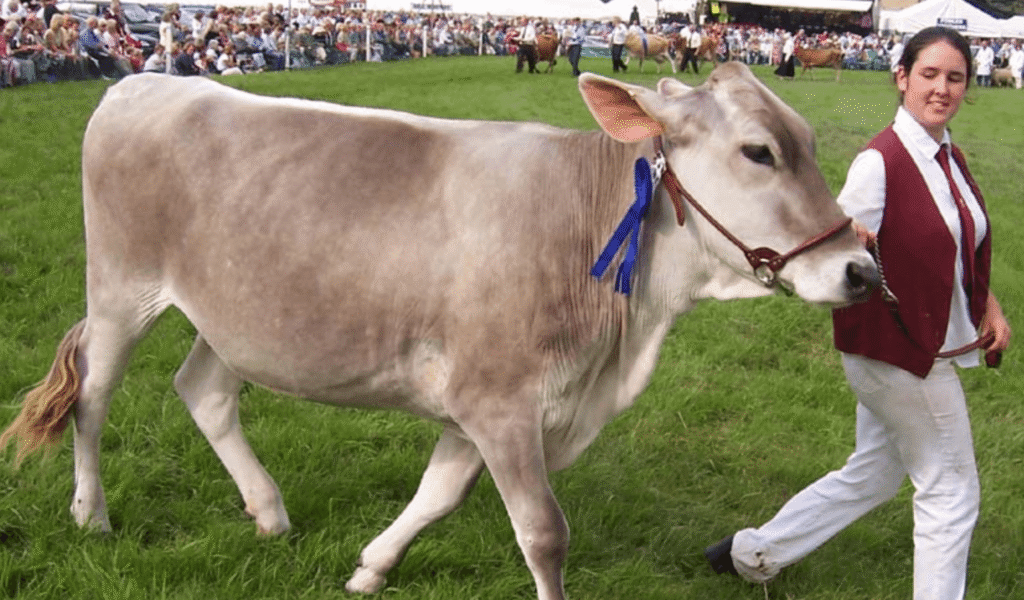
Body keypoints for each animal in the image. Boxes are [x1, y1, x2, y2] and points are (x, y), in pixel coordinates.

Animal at [1, 63, 878, 600]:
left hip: (238, 313)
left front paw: (369, 568)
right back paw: (91, 514)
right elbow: (544, 532)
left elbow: (439, 495)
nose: (861, 271)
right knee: (94, 395)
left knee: (204, 391)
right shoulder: (500, 401)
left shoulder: (484, 402)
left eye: (807, 140)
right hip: (121, 287)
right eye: (759, 151)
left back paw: (269, 512)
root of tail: (143, 82)